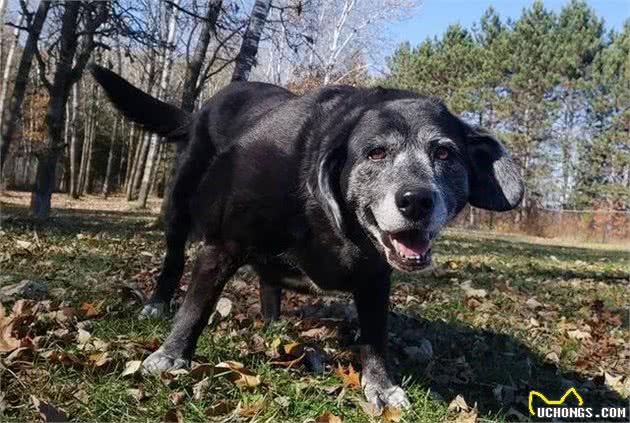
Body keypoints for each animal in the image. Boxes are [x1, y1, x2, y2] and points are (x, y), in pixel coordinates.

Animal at [90, 67, 524, 410]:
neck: (326, 216)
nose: (416, 200)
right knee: (175, 257)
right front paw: (172, 354)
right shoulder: (222, 246)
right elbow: (196, 306)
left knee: (268, 279)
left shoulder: (375, 277)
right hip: (180, 204)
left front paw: (381, 386)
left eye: (445, 153)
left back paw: (272, 321)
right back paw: (158, 302)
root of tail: (201, 109)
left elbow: (376, 334)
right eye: (376, 153)